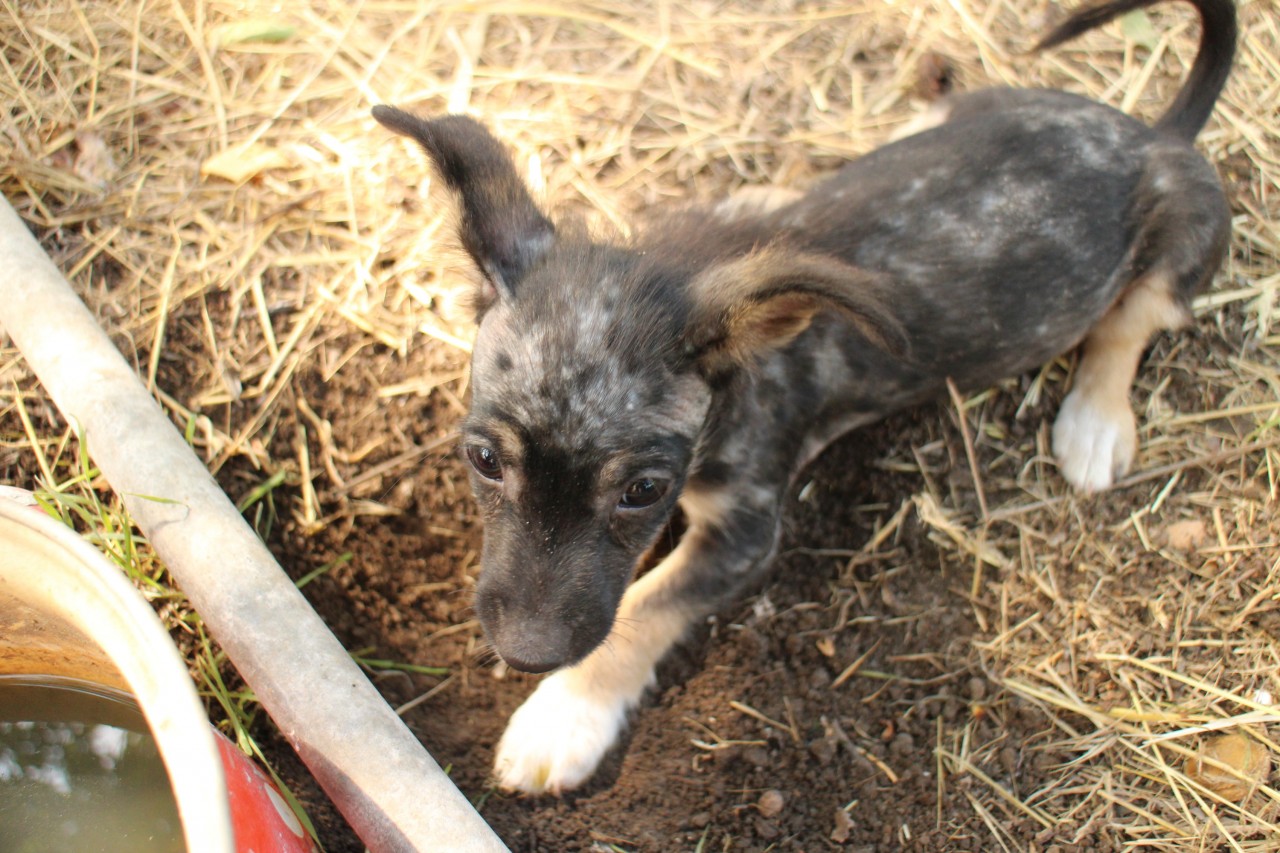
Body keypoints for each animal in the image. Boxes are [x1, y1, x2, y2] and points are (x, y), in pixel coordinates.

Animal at [373, 0, 1233, 794]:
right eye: (483, 459)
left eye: (644, 489)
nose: (527, 654)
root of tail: (1150, 134)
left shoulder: (747, 532)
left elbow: (643, 606)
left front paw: (561, 716)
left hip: (1189, 236)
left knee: (1132, 321)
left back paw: (1094, 422)